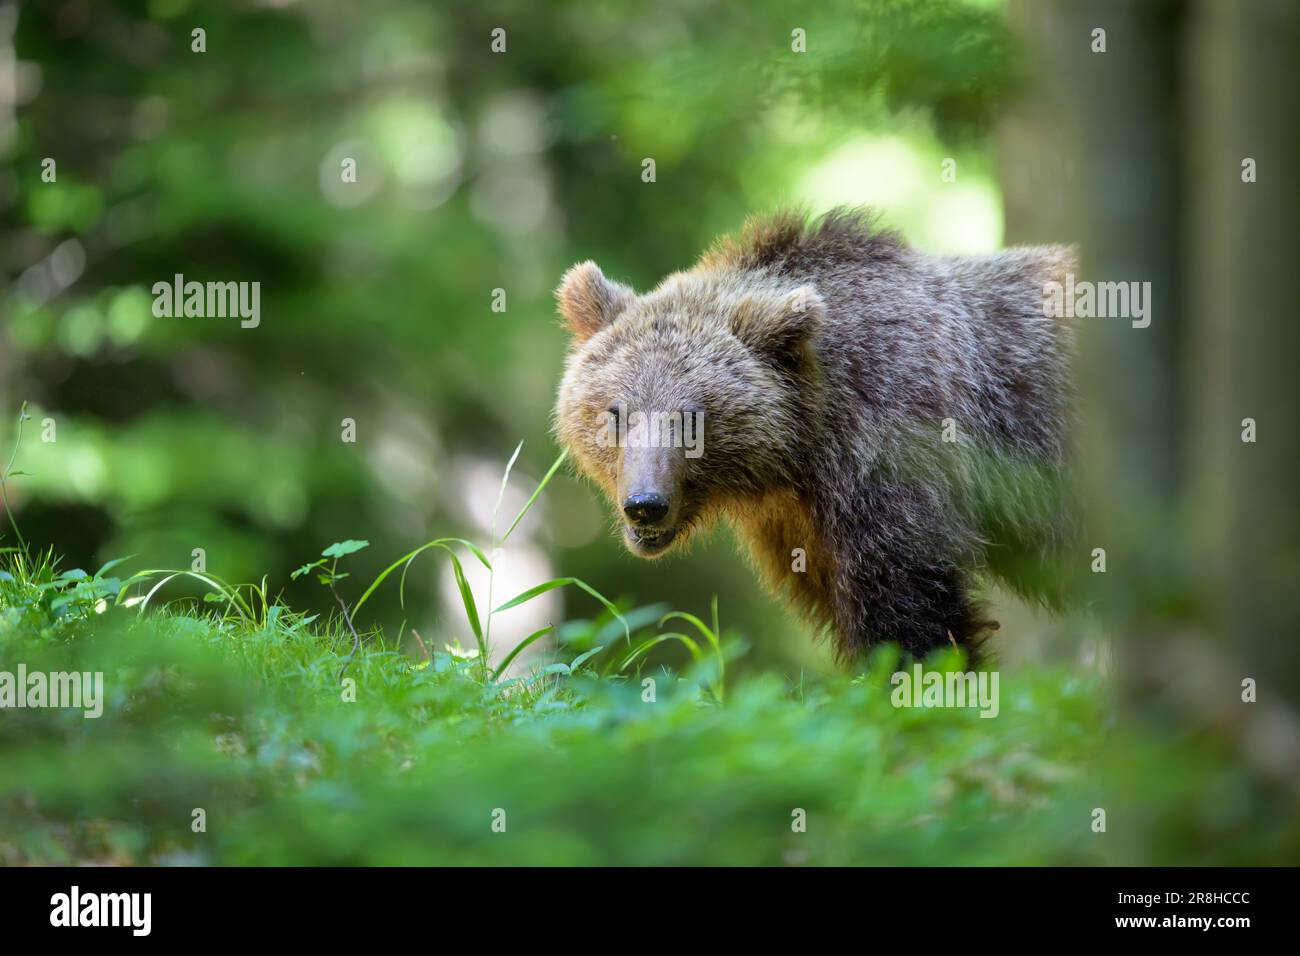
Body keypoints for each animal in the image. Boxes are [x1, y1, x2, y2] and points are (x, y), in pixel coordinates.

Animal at [556, 206, 1076, 660]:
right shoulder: (802, 533)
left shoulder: (893, 451)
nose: (645, 504)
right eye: (617, 412)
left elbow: (910, 609)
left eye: (692, 419)